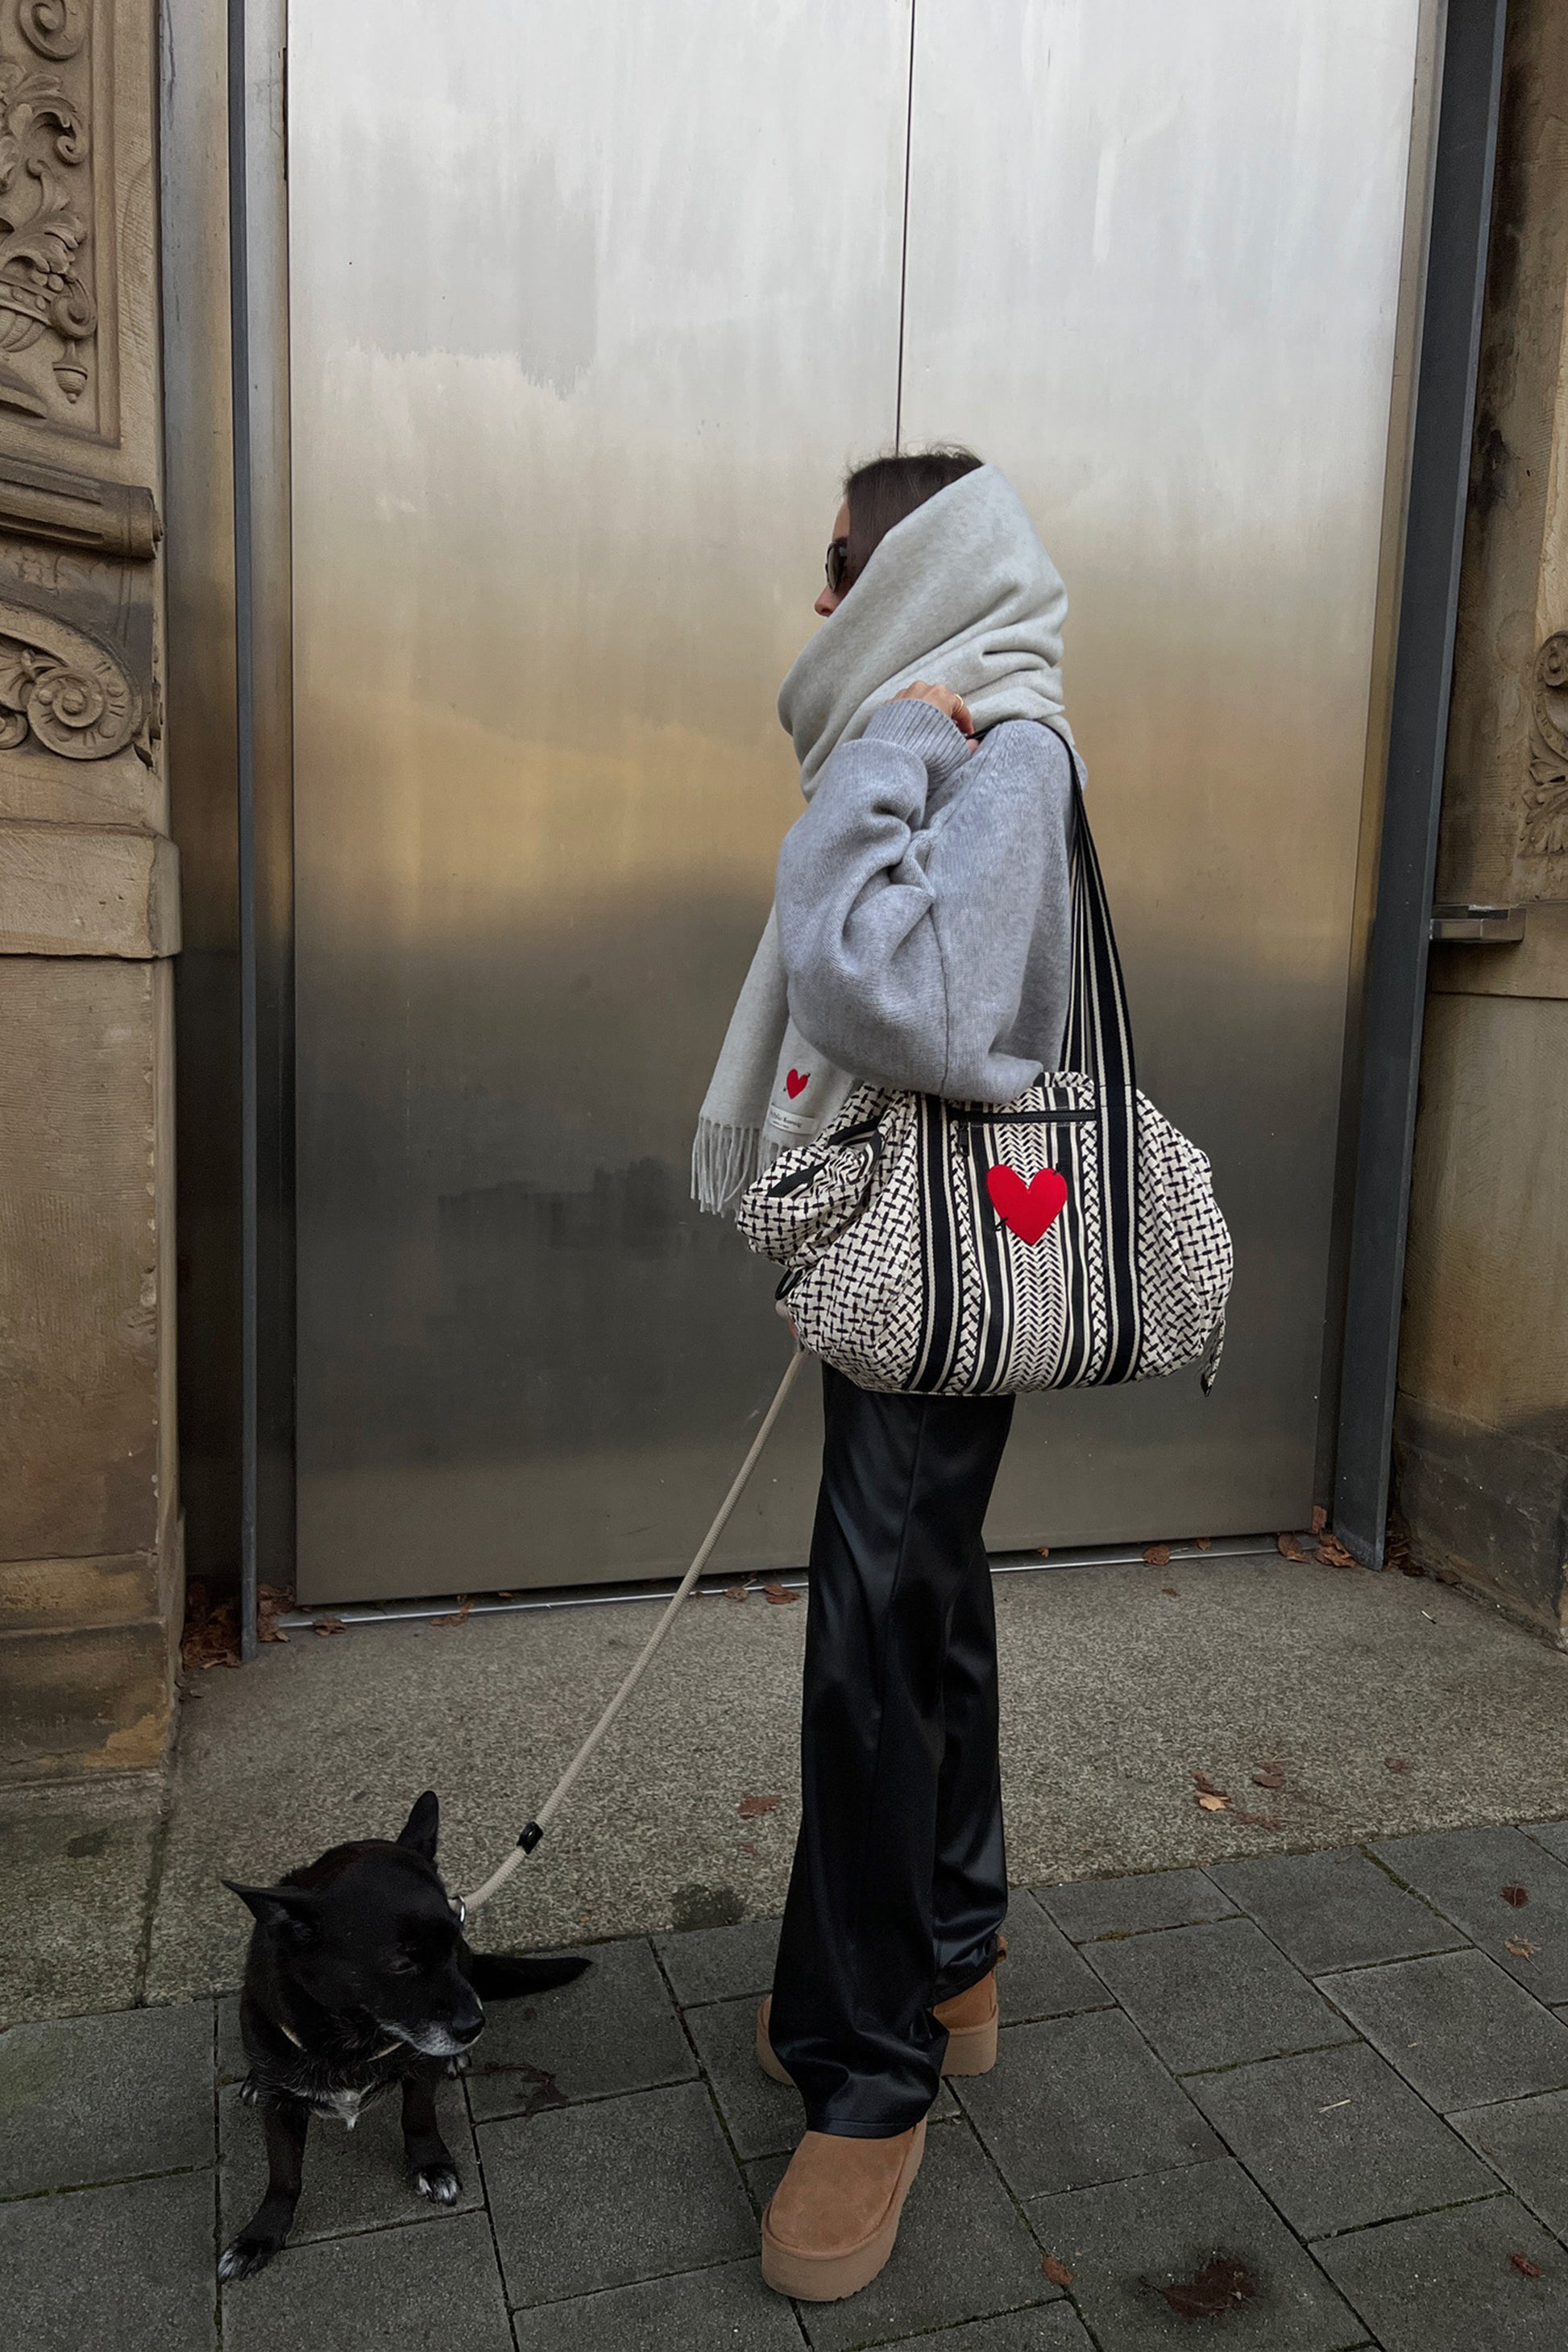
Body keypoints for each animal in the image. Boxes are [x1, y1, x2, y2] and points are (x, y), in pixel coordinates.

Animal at [217, 1787, 585, 2267]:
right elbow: (284, 2174)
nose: (475, 2024)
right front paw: (261, 2234)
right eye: (400, 1964)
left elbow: (418, 2117)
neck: (351, 2035)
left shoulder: (419, 2066)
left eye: (454, 1939)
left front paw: (431, 2165)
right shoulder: (280, 2107)